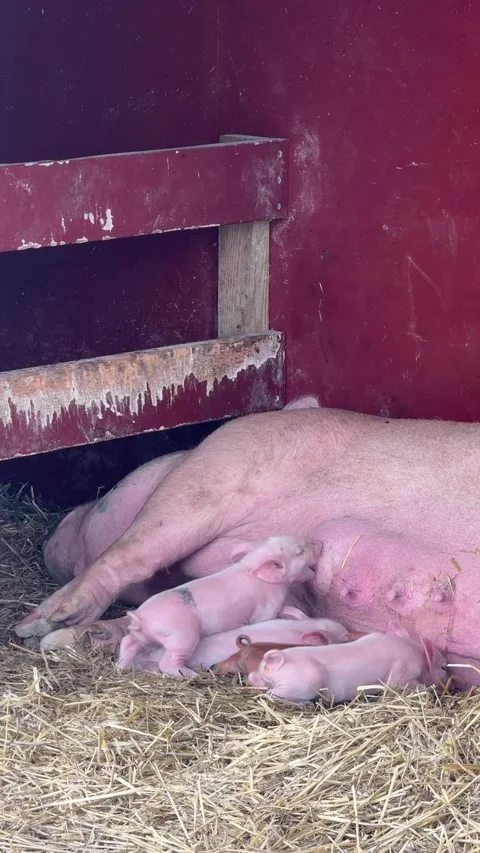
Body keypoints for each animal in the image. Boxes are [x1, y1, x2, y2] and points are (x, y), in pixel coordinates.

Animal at [116, 535, 317, 677]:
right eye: (299, 551)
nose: (317, 543)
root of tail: (142, 617)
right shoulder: (266, 608)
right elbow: (265, 619)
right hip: (182, 637)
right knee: (167, 663)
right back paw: (191, 675)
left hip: (145, 636)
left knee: (129, 642)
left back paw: (120, 667)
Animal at [248, 621, 448, 704]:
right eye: (443, 666)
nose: (451, 684)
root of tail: (276, 663)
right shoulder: (400, 676)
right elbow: (407, 686)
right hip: (303, 682)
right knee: (271, 695)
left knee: (255, 679)